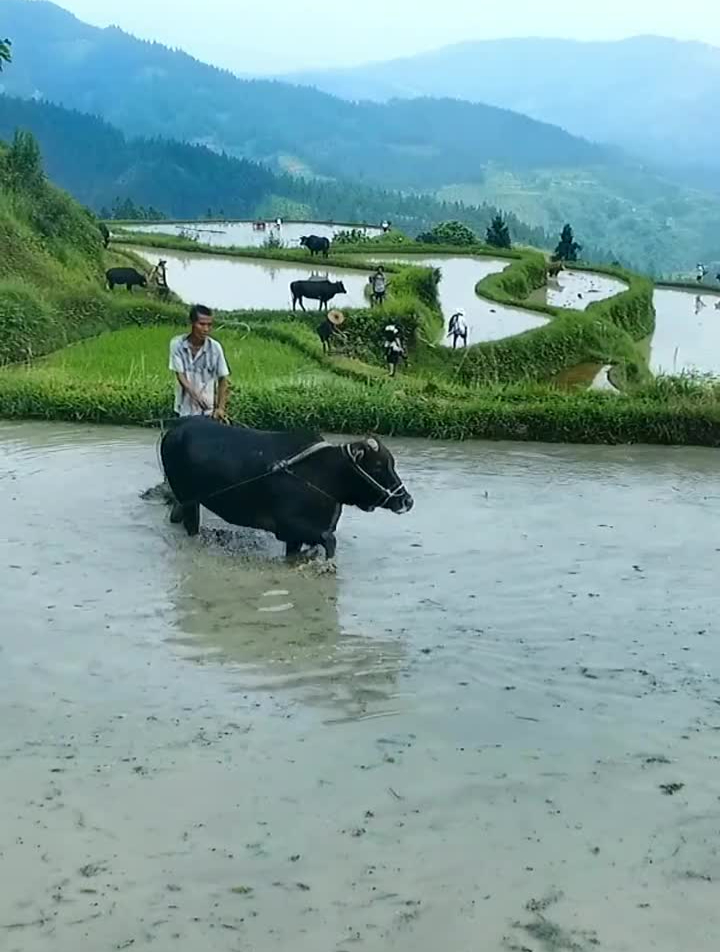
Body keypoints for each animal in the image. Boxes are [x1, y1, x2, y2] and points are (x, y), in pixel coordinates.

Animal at [160, 416, 414, 556]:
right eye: (378, 466)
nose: (407, 500)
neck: (325, 476)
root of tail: (176, 429)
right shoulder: (290, 528)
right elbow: (330, 544)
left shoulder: (297, 539)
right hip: (190, 501)